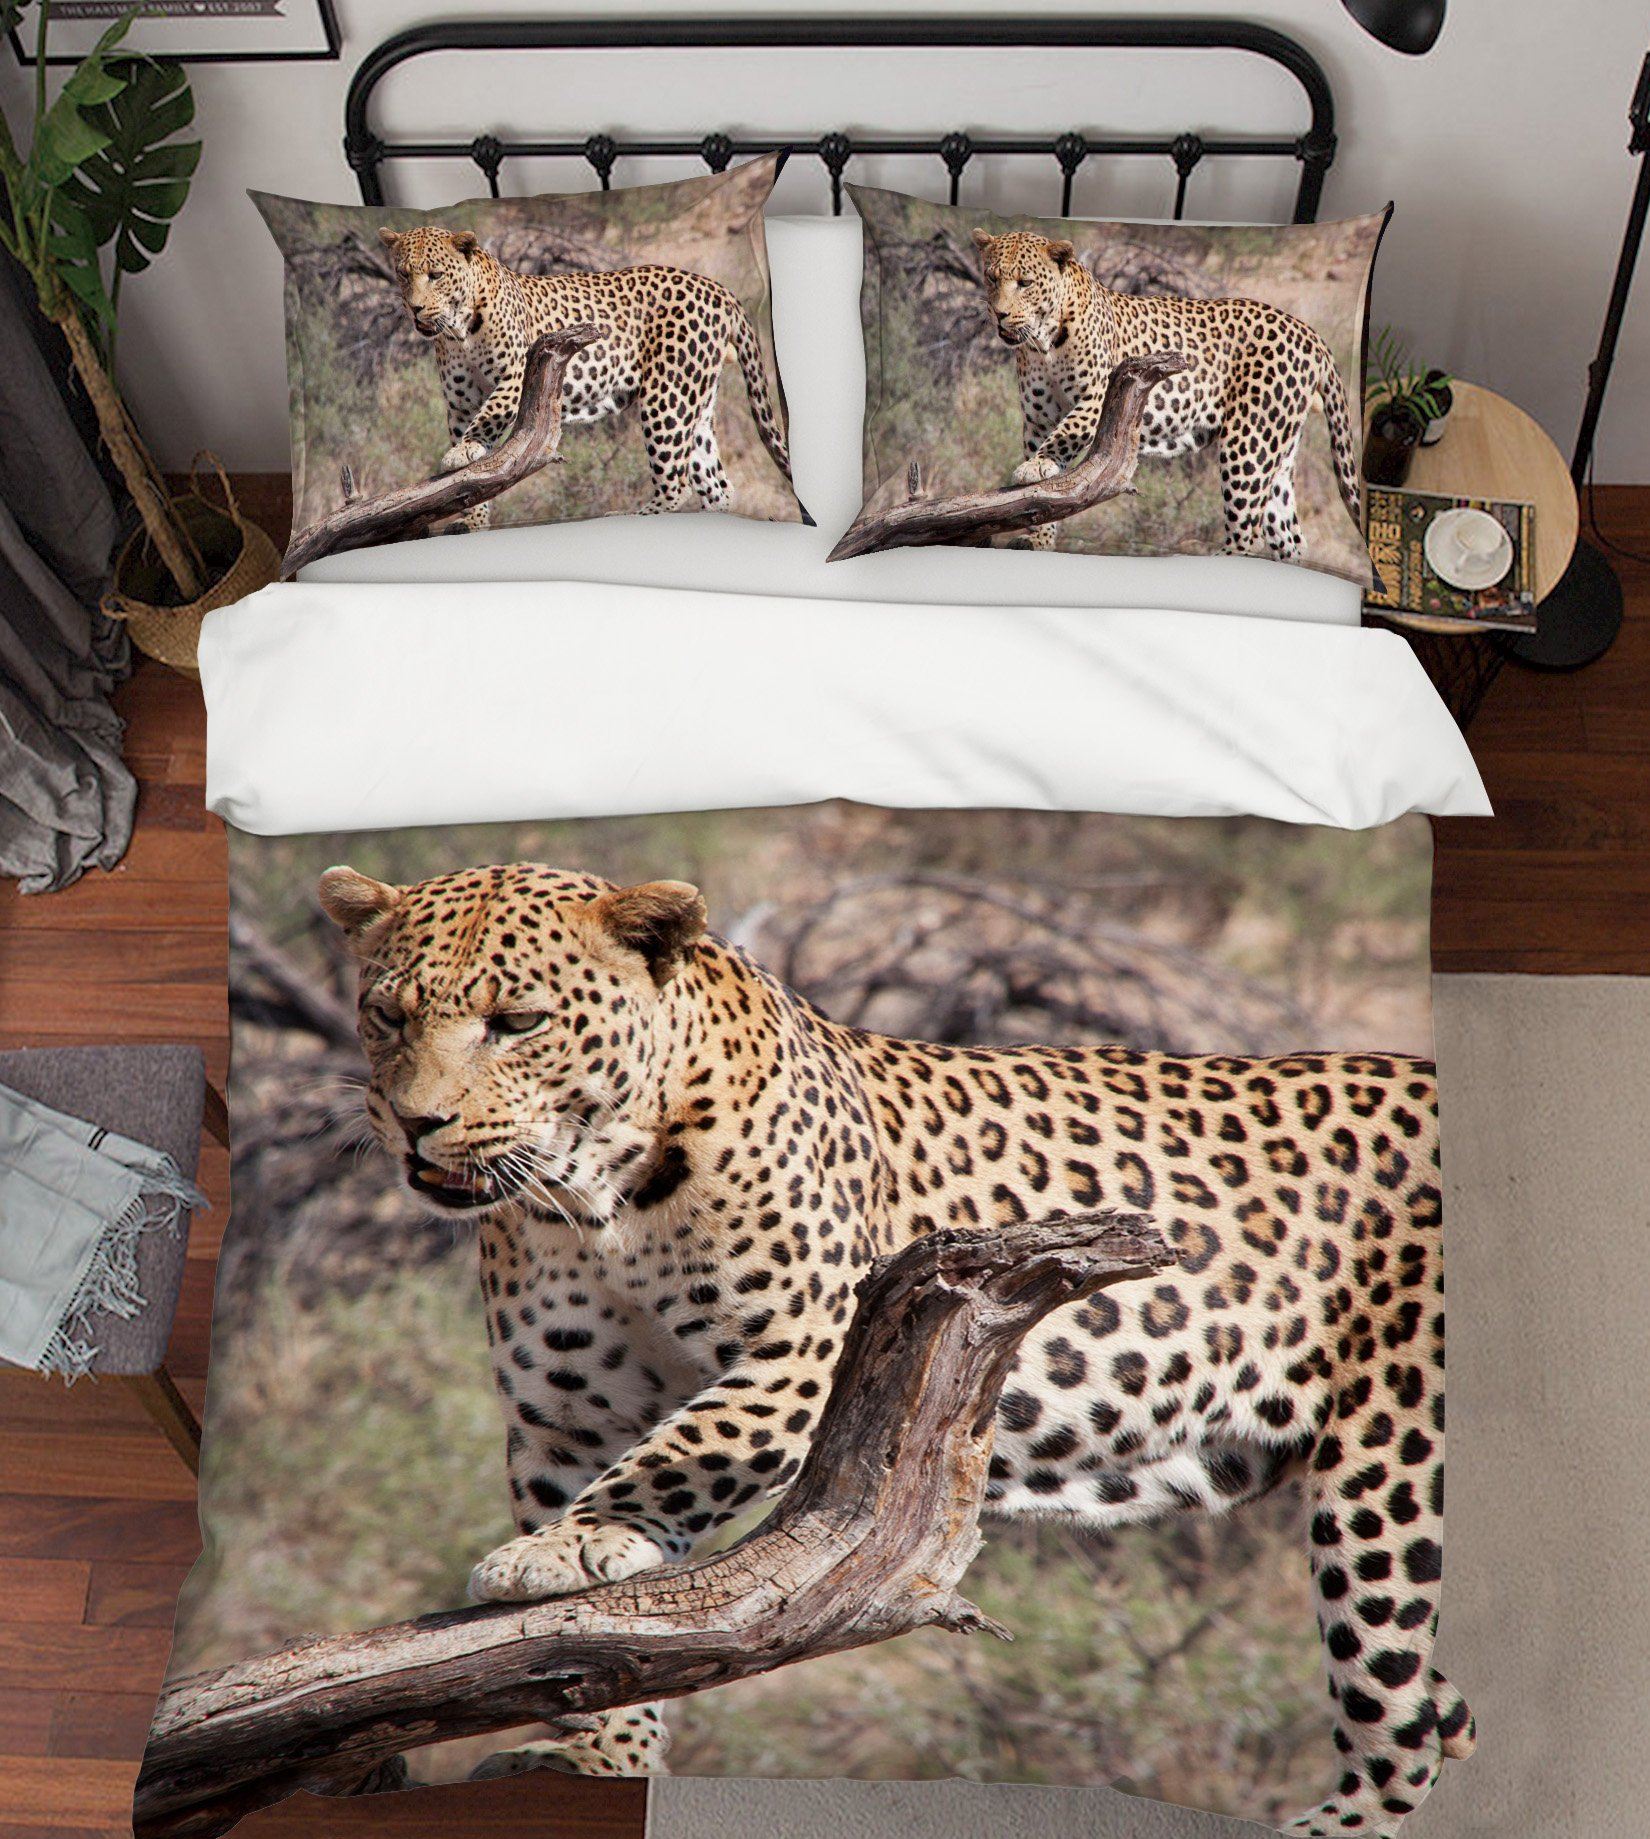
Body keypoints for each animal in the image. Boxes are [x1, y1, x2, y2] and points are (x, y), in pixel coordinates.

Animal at [319, 859, 1474, 1835]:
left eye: (517, 1022)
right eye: (387, 1014)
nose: (417, 1123)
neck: (591, 1200)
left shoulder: (810, 1347)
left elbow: (682, 1452)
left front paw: (570, 1544)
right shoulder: (563, 1415)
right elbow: (587, 1635)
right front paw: (598, 1758)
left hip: (1388, 1475)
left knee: (1400, 1721)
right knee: (1441, 1710)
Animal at [378, 225, 792, 529]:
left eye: (435, 275)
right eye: (403, 274)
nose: (415, 309)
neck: (458, 330)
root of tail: (718, 288)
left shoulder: (517, 375)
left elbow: (489, 417)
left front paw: (463, 450)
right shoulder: (460, 404)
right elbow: (472, 477)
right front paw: (474, 520)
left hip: (668, 396)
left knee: (676, 482)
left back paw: (631, 516)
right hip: (697, 401)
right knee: (716, 485)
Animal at [972, 229, 1363, 562]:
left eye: (1025, 283)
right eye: (991, 278)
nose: (1000, 314)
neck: (1042, 343)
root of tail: (1309, 331)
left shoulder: (1097, 397)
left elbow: (1066, 433)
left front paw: (1038, 464)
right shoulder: (1037, 418)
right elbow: (1044, 494)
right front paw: (1037, 538)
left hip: (1250, 442)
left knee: (1247, 529)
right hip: (1277, 450)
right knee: (1289, 536)